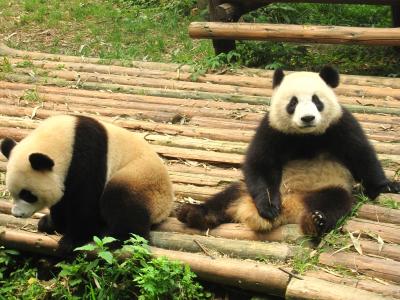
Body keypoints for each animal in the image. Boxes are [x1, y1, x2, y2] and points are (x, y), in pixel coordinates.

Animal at [0, 115, 174, 251]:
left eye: (28, 195)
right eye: (13, 193)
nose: (17, 214)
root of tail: (165, 209)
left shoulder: (87, 158)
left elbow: (84, 202)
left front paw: (71, 240)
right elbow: (62, 200)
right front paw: (51, 224)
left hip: (140, 180)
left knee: (122, 203)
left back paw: (116, 237)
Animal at [178, 65, 400, 237]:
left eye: (316, 100)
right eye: (293, 102)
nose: (308, 118)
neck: (306, 136)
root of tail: (290, 207)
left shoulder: (339, 124)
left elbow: (361, 155)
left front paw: (387, 186)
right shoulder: (271, 129)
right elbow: (259, 163)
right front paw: (268, 208)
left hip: (326, 187)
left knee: (336, 202)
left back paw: (315, 222)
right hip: (246, 191)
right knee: (226, 197)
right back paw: (192, 213)